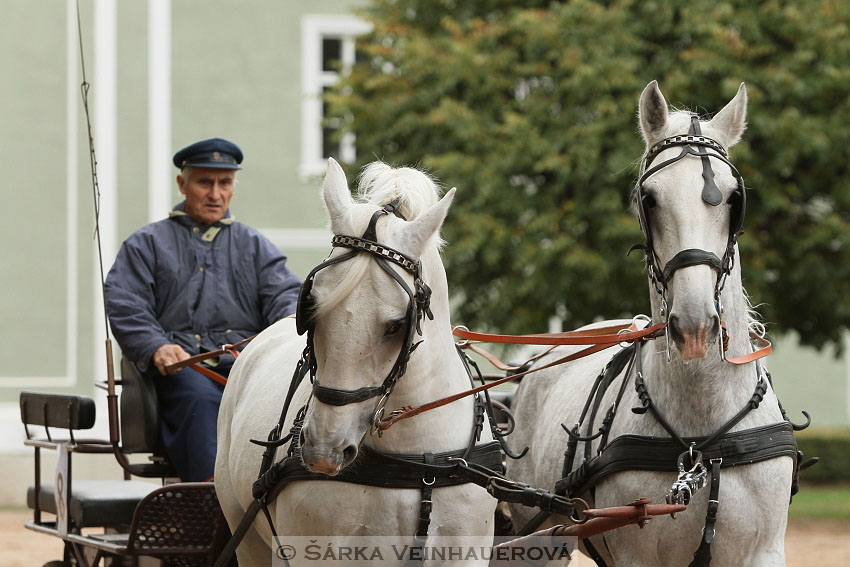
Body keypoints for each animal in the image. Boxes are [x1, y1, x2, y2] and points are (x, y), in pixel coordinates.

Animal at [212, 160, 500, 567]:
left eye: (396, 325)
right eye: (311, 310)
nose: (323, 450)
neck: (417, 460)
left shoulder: (464, 552)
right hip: (248, 536)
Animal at [504, 82, 796, 564]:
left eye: (734, 199)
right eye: (649, 199)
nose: (695, 327)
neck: (700, 445)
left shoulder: (763, 552)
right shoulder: (636, 555)